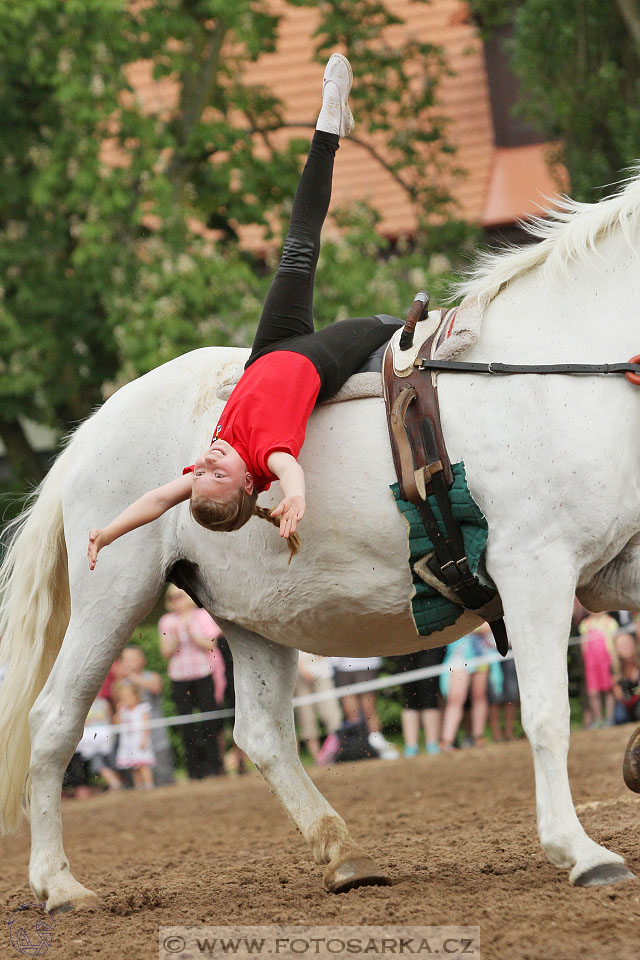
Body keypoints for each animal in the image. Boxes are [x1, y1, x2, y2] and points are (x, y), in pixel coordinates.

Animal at [1, 176, 640, 912]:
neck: (556, 363)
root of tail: (89, 433)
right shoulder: (535, 567)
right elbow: (546, 712)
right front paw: (581, 852)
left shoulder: (612, 566)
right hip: (114, 597)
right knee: (54, 722)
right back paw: (57, 882)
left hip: (252, 614)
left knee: (263, 734)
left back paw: (342, 853)